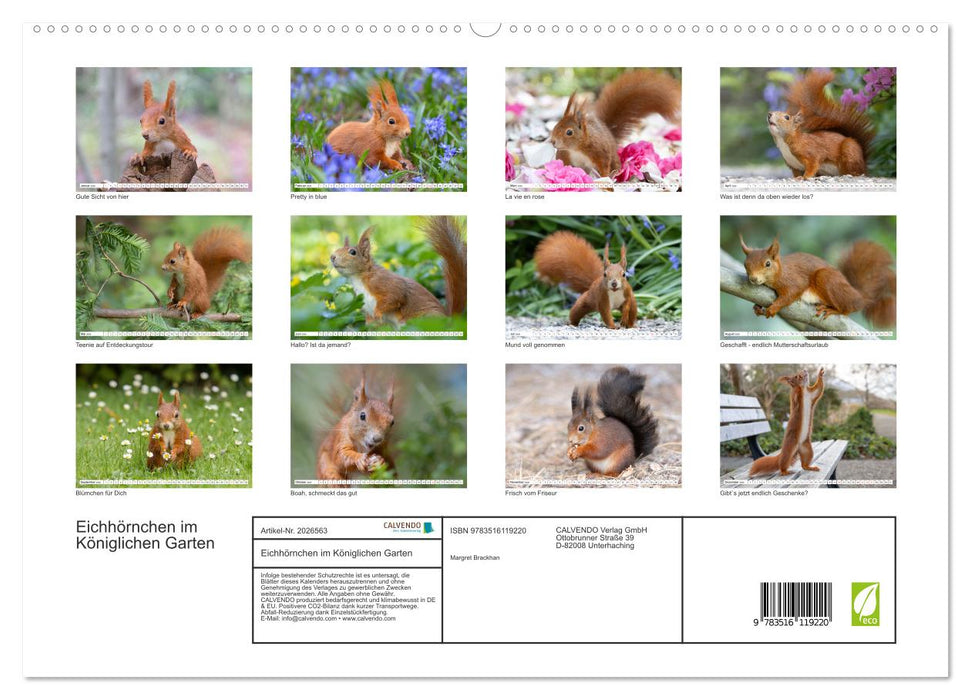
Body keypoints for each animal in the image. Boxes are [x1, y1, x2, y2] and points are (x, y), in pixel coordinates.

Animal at [330, 216, 467, 325]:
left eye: (352, 252)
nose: (332, 257)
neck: (359, 278)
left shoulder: (384, 282)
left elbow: (395, 296)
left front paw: (378, 312)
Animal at [550, 69, 681, 178]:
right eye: (556, 126)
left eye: (569, 132)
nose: (553, 141)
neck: (577, 148)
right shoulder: (565, 155)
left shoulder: (600, 152)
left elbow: (604, 167)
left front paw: (605, 178)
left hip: (613, 158)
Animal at [740, 235, 896, 328]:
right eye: (745, 264)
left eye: (767, 264)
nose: (753, 279)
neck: (781, 271)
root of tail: (859, 296)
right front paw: (757, 307)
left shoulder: (793, 280)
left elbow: (792, 293)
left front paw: (774, 308)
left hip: (827, 278)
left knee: (848, 309)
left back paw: (832, 309)